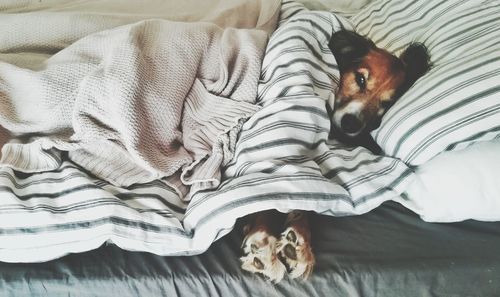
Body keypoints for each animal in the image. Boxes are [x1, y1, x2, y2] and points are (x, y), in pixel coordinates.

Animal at [238, 30, 430, 282]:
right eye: (360, 79)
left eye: (387, 103)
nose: (351, 123)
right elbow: (267, 201)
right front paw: (263, 242)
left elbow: (303, 202)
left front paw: (298, 242)